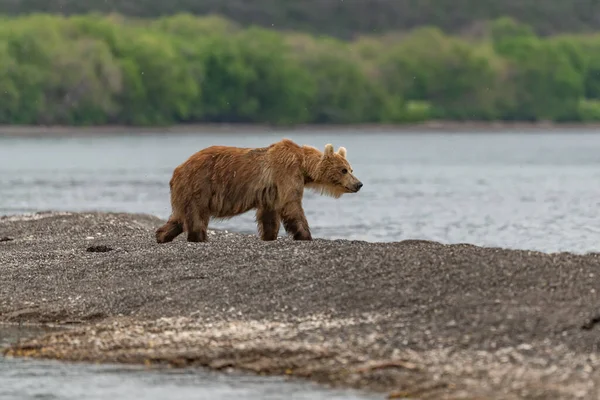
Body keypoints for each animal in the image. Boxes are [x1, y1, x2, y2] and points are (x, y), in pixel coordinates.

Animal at [154, 138, 360, 244]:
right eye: (343, 170)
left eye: (351, 169)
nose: (359, 184)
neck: (302, 165)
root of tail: (178, 169)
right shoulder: (286, 174)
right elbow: (292, 205)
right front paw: (306, 235)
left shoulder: (271, 192)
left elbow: (269, 215)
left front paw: (269, 236)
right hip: (200, 185)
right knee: (197, 216)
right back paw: (198, 238)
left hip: (187, 192)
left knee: (179, 217)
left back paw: (162, 235)